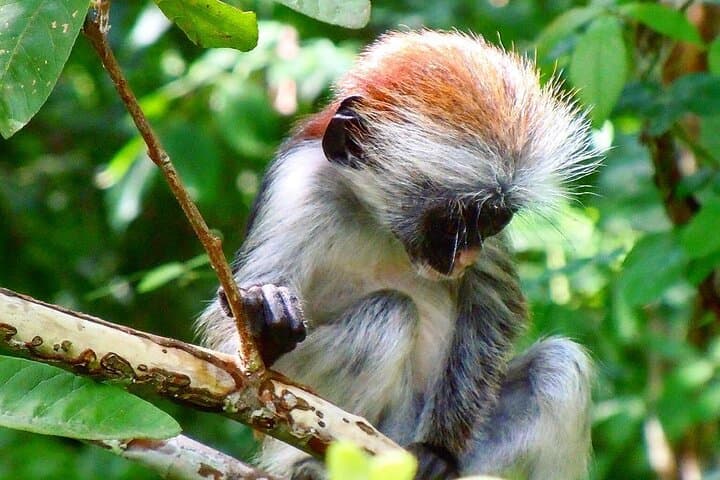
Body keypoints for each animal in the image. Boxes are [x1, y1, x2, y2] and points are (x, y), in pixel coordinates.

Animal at [198, 30, 598, 480]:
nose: (466, 256)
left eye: (493, 220)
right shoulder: (296, 188)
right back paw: (312, 463)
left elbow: (493, 308)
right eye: (453, 222)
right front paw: (265, 327)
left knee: (559, 365)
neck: (373, 219)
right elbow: (229, 339)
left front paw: (438, 450)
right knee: (391, 313)